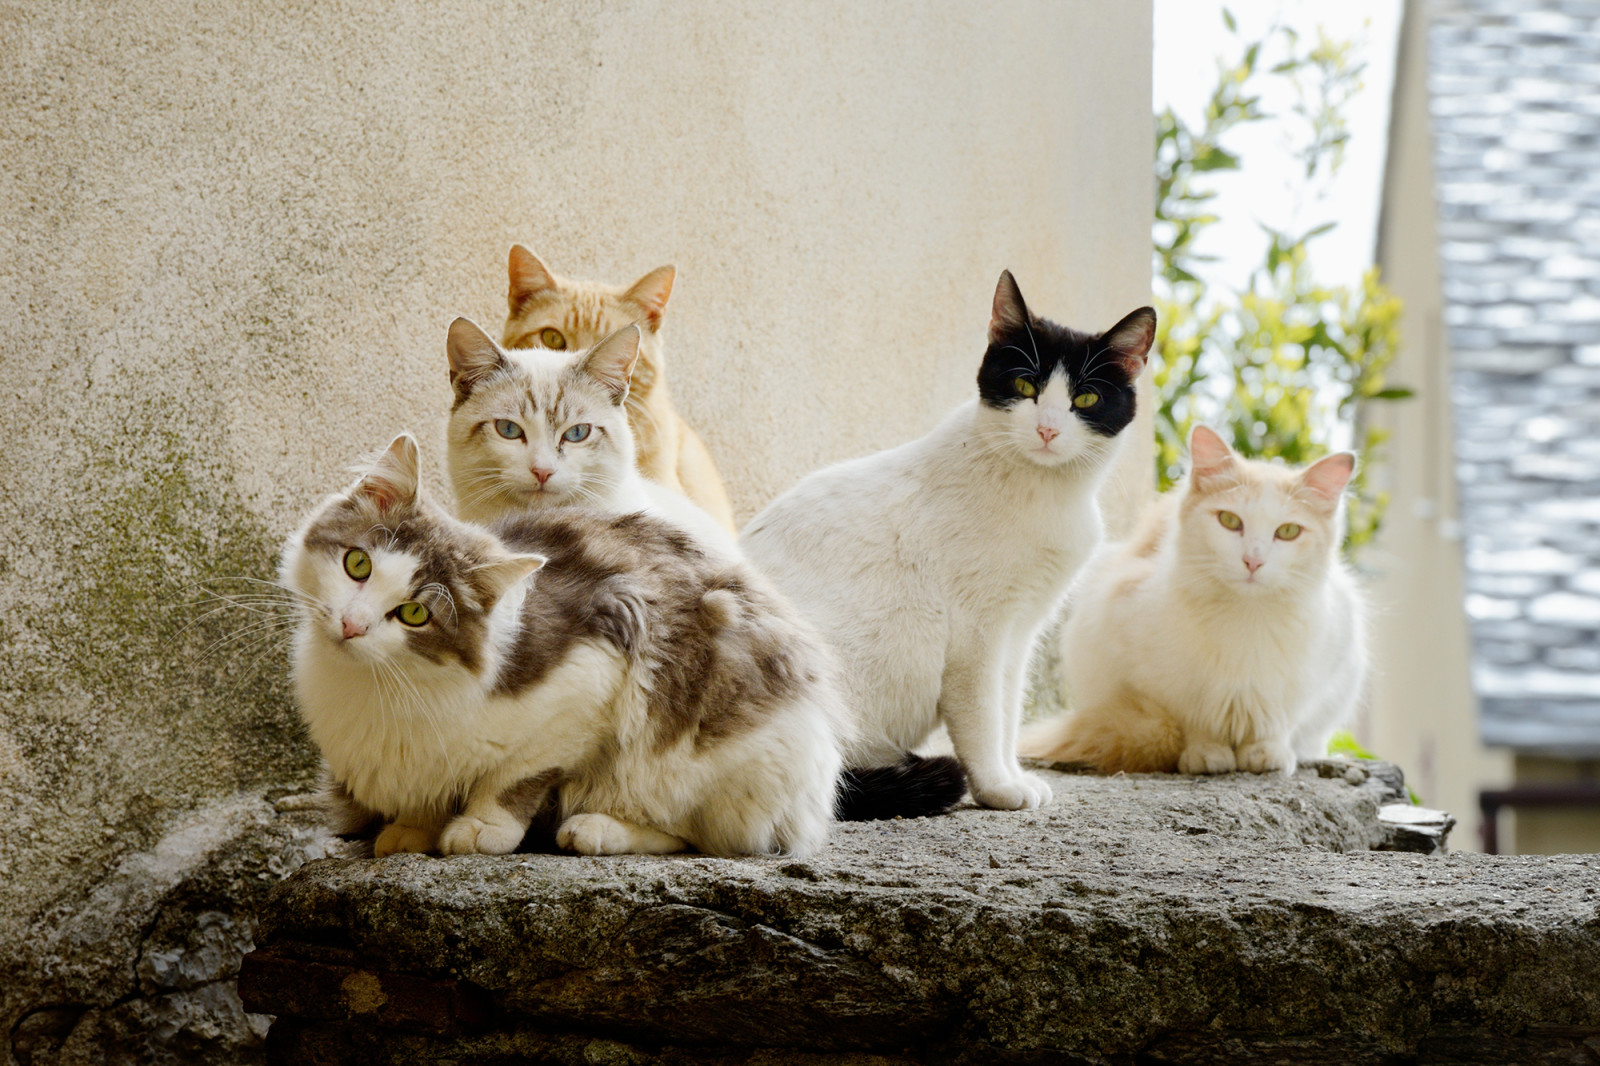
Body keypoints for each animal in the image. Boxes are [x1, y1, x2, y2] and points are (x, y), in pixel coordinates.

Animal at [736, 270, 1152, 809]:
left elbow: (1008, 710)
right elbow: (982, 714)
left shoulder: (1021, 628)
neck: (1046, 493)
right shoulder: (978, 631)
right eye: (1025, 385)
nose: (1046, 429)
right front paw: (996, 787)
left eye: (1085, 399)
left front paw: (1014, 775)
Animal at [1017, 422, 1369, 771]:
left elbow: (1278, 723)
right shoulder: (1145, 665)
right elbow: (1192, 720)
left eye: (1288, 532)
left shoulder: (1316, 674)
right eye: (1229, 521)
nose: (1253, 561)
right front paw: (1206, 752)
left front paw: (1268, 754)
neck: (1246, 618)